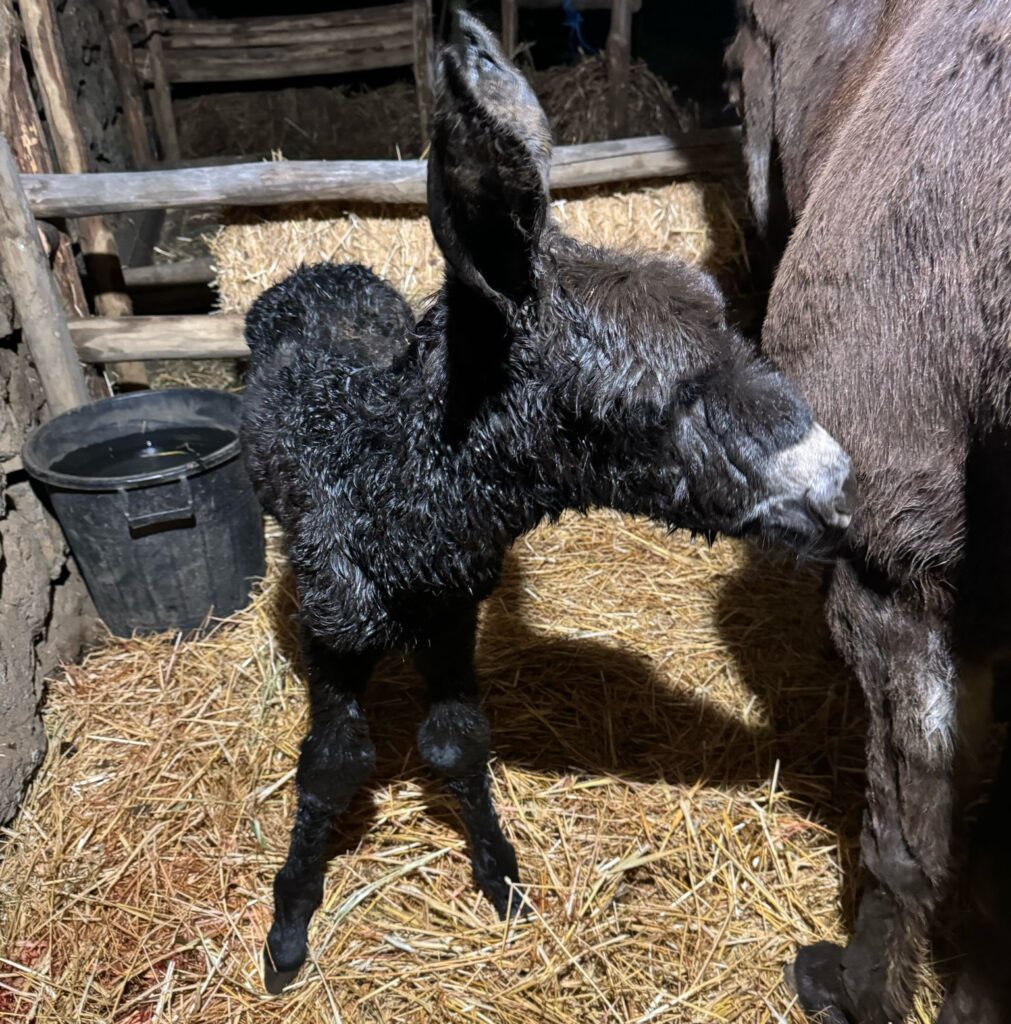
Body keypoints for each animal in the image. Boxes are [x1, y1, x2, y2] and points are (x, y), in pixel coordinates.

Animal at [242, 14, 852, 991]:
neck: (390, 484)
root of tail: (319, 265)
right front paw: (288, 930)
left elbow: (455, 739)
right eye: (642, 407)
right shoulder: (335, 625)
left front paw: (501, 882)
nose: (838, 487)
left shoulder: (455, 609)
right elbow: (332, 765)